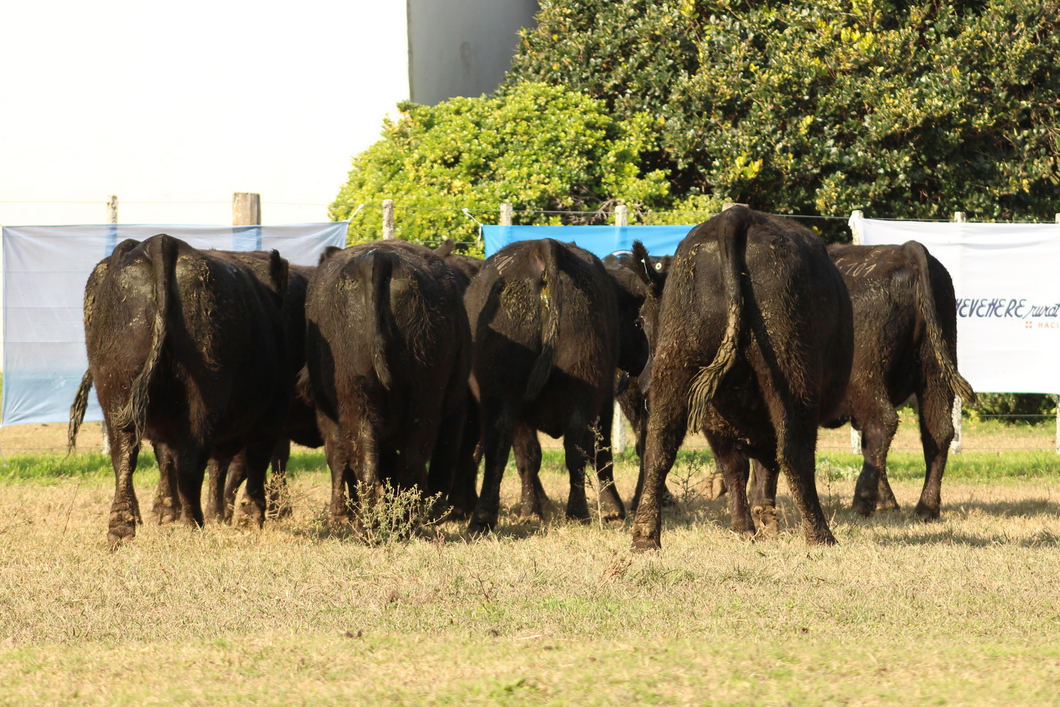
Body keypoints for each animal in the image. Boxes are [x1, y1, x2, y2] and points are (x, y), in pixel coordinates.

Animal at [69, 235, 290, 551]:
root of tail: (161, 242)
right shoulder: (272, 414)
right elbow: (252, 462)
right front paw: (250, 517)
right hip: (204, 396)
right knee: (191, 462)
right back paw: (194, 522)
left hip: (118, 390)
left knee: (124, 455)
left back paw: (123, 528)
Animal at [307, 239, 472, 519]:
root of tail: (377, 257)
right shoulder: (457, 408)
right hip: (423, 397)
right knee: (411, 461)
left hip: (354, 391)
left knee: (360, 457)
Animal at [627, 207, 852, 551]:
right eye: (640, 321)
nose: (643, 384)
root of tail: (737, 214)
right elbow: (762, 465)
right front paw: (764, 525)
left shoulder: (714, 419)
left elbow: (738, 467)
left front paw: (748, 526)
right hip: (792, 372)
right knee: (794, 450)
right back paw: (820, 536)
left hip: (677, 360)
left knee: (658, 448)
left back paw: (644, 537)